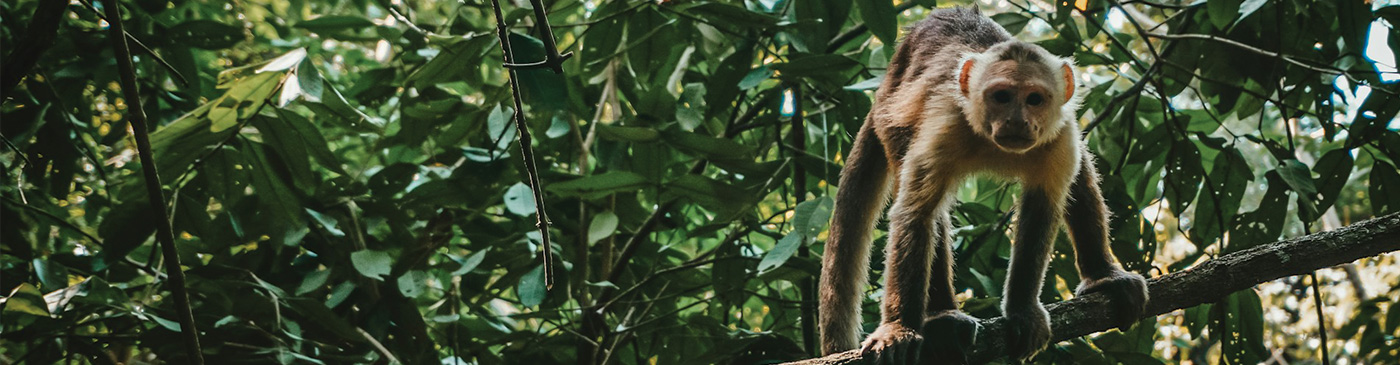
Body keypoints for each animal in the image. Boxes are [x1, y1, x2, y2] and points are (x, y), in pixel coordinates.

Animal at [817, 7, 1148, 360]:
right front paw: (898, 328)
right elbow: (915, 214)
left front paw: (1022, 310)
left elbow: (1043, 207)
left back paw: (1103, 277)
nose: (1016, 121)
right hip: (890, 120)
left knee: (1081, 171)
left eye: (1034, 99)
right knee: (928, 209)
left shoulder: (1059, 135)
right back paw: (943, 317)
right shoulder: (947, 123)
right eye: (1001, 97)